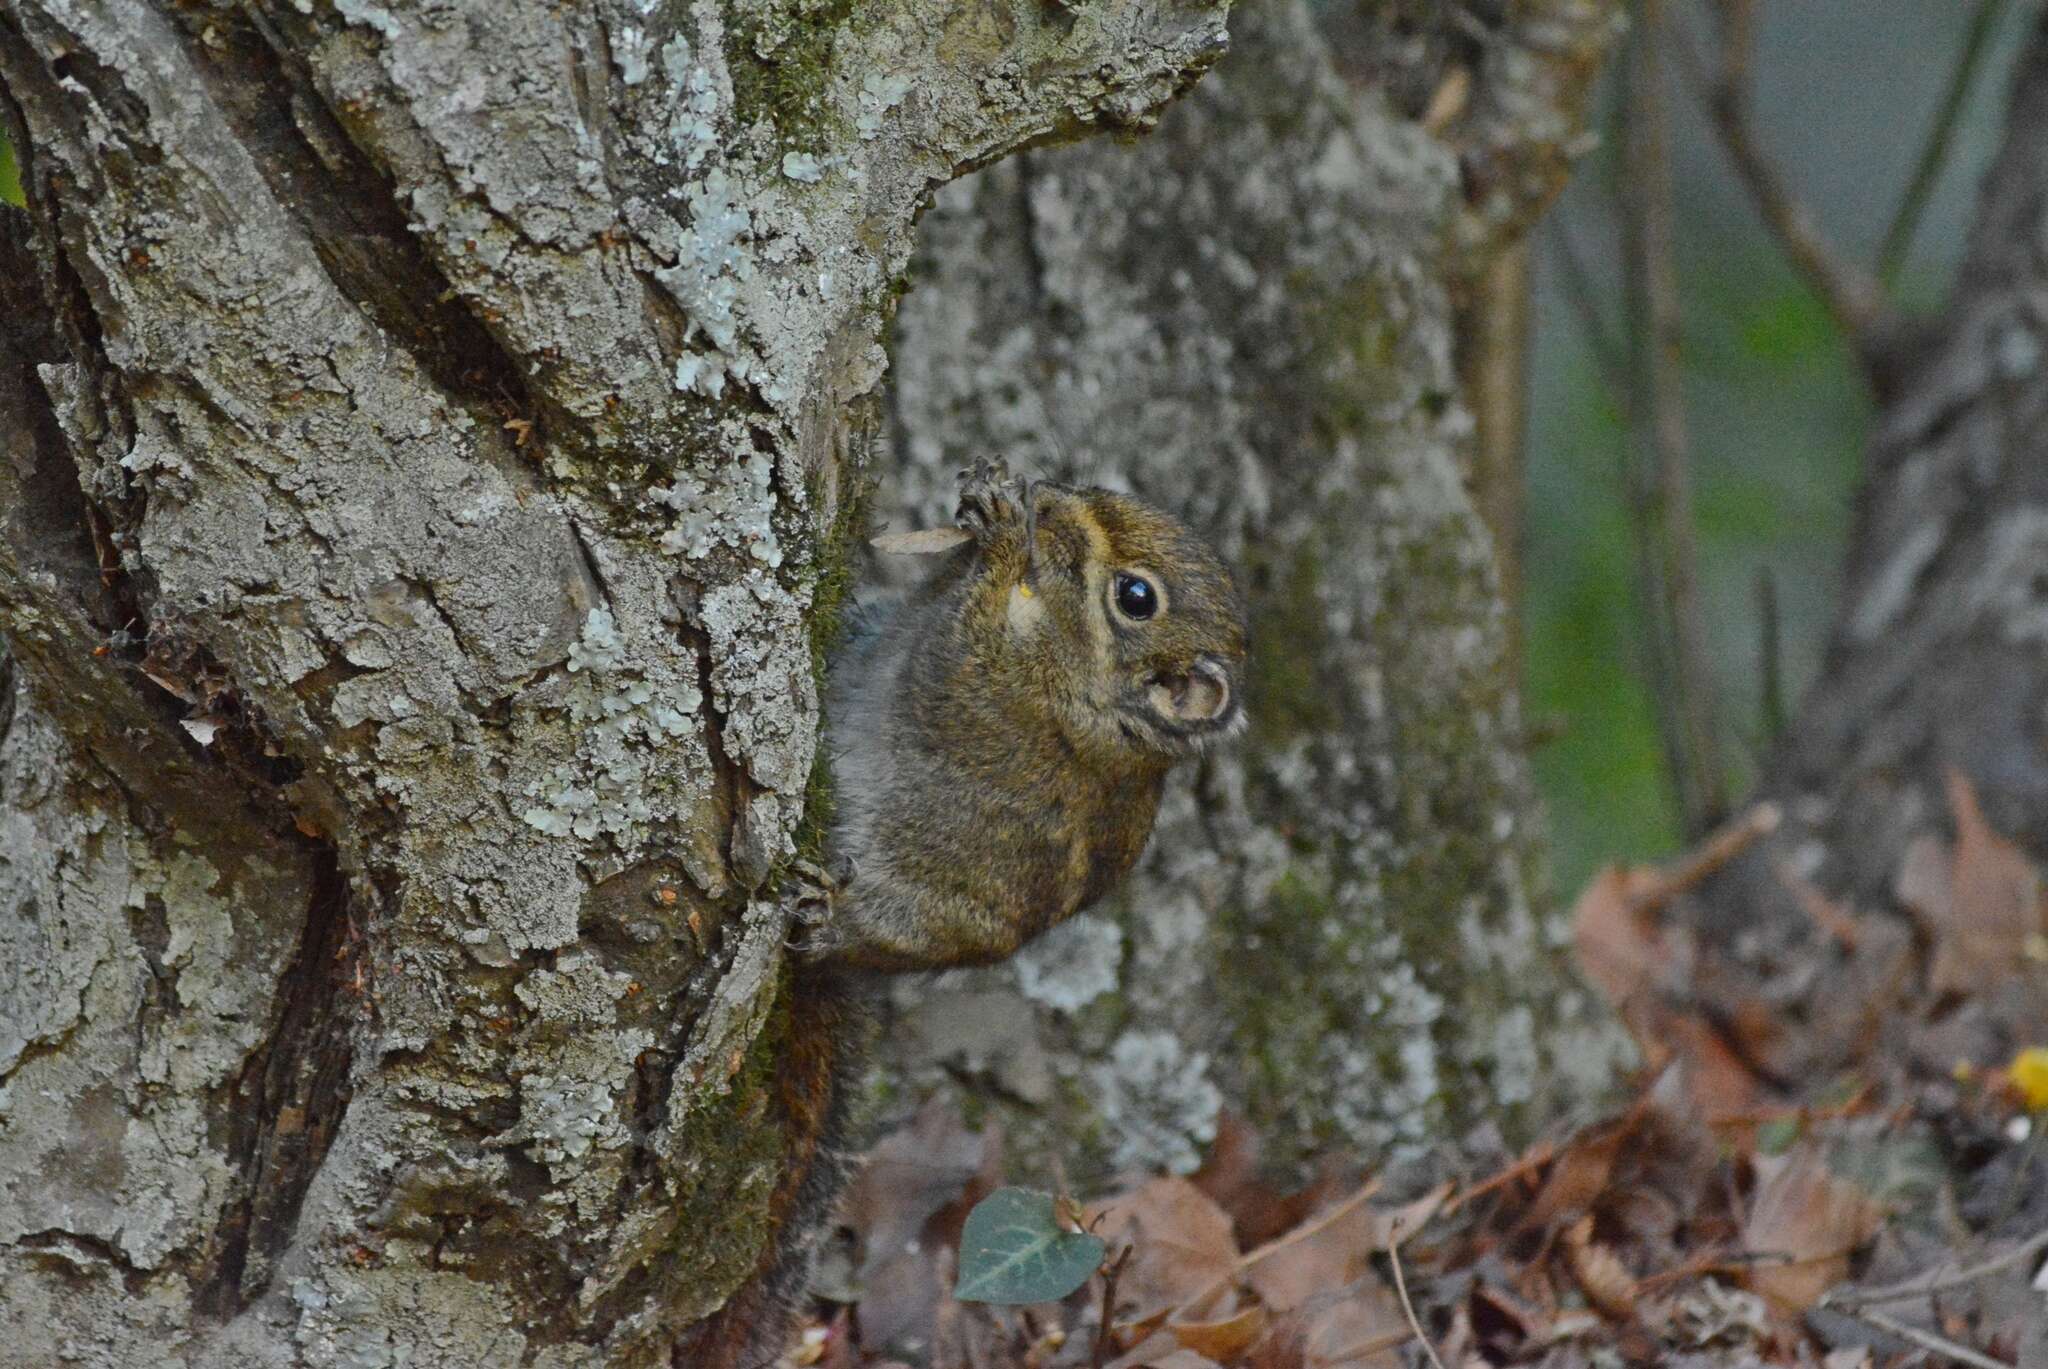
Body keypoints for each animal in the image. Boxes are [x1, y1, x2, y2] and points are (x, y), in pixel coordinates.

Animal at [684, 463, 1245, 1369]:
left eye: (1136, 595)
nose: (1053, 499)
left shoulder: (1005, 688)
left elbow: (963, 643)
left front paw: (1004, 537)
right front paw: (994, 505)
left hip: (925, 914)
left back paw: (832, 915)